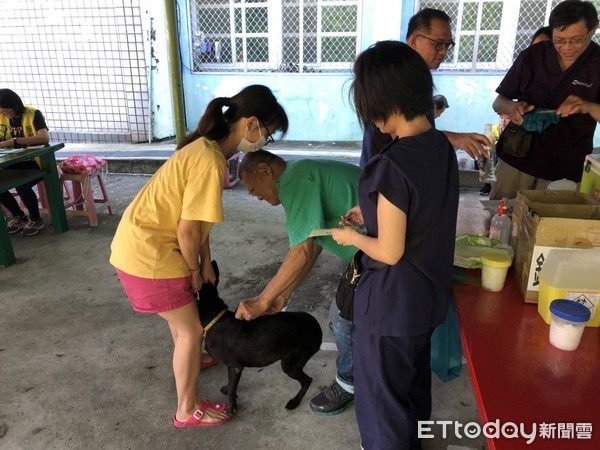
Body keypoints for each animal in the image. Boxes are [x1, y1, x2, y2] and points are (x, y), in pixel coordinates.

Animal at [196, 260, 324, 414]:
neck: (214, 318)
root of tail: (316, 326)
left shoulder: (235, 366)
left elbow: (232, 390)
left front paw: (232, 408)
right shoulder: (231, 367)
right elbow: (231, 384)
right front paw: (227, 389)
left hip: (290, 363)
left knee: (307, 380)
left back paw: (294, 401)